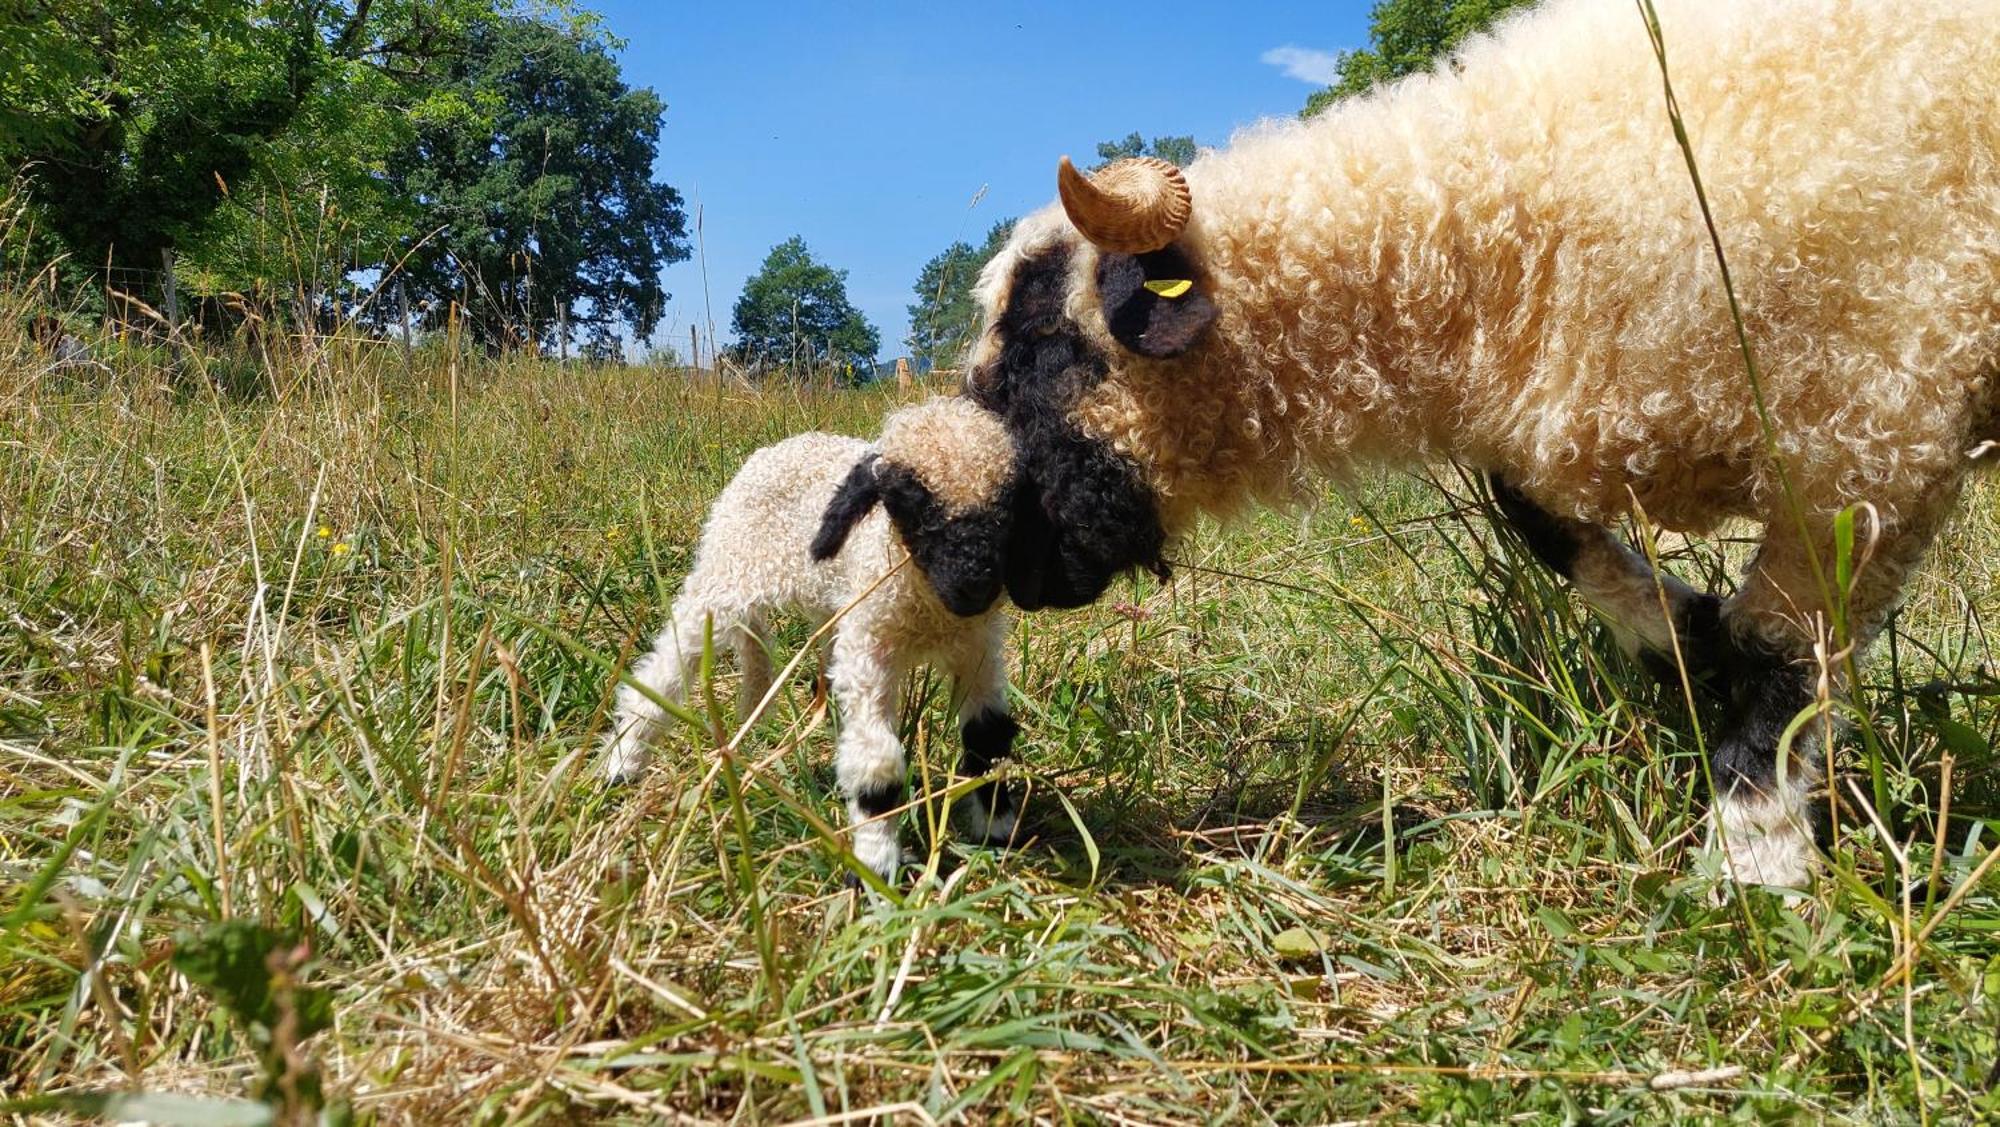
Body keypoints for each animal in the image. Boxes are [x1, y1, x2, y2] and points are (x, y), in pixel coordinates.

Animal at [600, 399, 1024, 883]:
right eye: (907, 500)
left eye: (1006, 504)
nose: (975, 586)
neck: (928, 610)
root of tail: (778, 447)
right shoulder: (867, 647)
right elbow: (877, 762)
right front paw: (875, 864)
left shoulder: (977, 649)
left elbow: (987, 735)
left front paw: (998, 828)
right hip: (726, 574)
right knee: (666, 667)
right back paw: (622, 764)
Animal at [964, 0, 2000, 891]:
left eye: (1051, 346)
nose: (1006, 562)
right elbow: (1535, 515)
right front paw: (1682, 634)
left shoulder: (1868, 424)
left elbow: (1782, 652)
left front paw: (1754, 854)